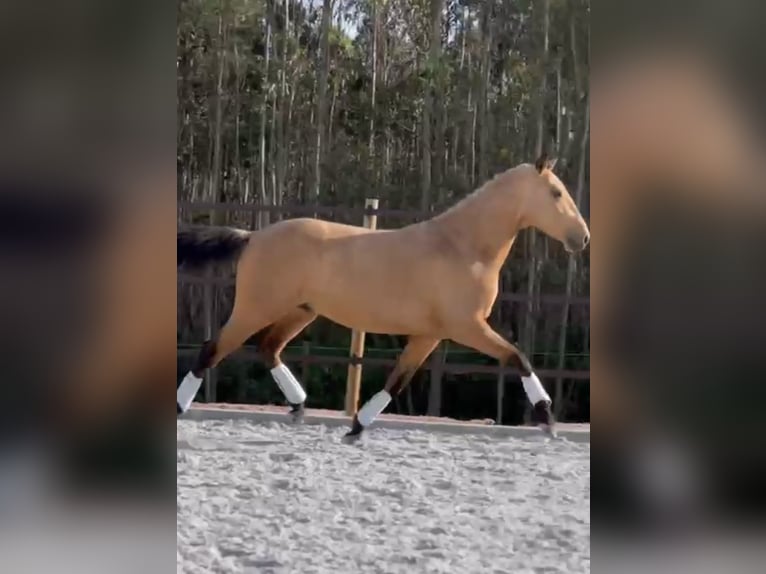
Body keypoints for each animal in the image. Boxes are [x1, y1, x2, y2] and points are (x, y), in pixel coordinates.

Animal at [177, 155, 592, 444]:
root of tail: (253, 237)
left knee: (268, 348)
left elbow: (397, 382)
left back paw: (298, 406)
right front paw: (548, 420)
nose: (582, 238)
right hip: (256, 308)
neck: (461, 247)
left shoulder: (430, 336)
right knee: (211, 350)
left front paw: (356, 428)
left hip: (300, 311)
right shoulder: (468, 328)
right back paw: (182, 407)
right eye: (556, 193)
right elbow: (518, 358)